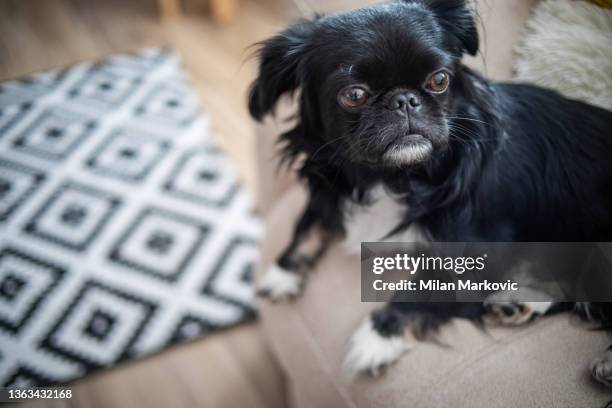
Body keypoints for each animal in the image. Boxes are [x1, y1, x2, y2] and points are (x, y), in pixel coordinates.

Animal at [246, 0, 612, 382]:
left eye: (439, 80)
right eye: (354, 95)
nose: (405, 99)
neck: (392, 176)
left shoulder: (481, 247)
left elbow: (422, 289)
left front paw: (376, 337)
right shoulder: (330, 187)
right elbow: (310, 222)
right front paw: (283, 271)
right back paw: (520, 303)